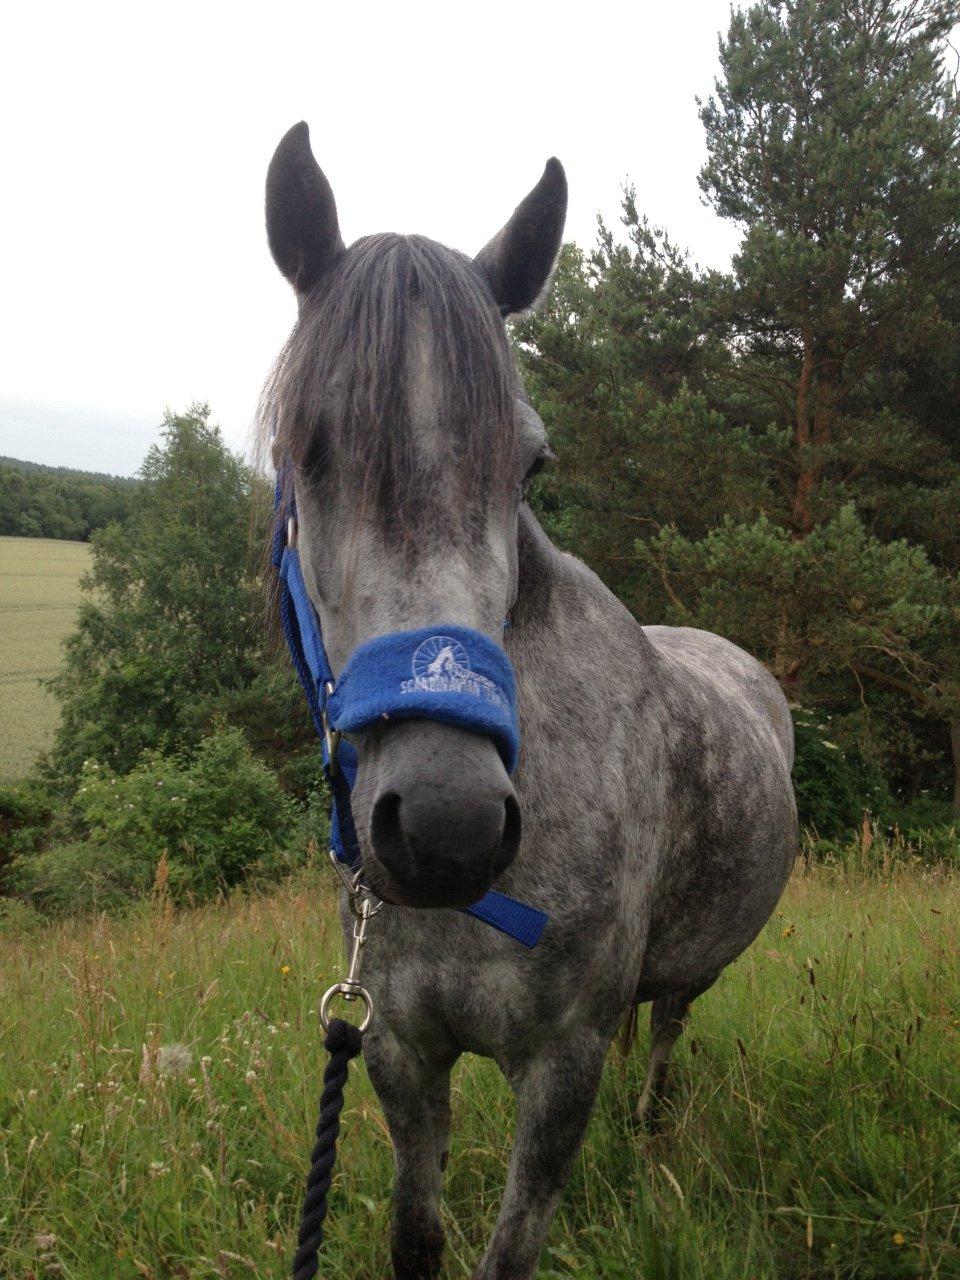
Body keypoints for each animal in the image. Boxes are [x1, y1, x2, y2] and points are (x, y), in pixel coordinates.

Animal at [263, 122, 798, 1280]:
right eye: (302, 450)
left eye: (532, 463)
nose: (447, 823)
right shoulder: (400, 1049)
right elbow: (416, 1236)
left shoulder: (560, 1065)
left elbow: (510, 1248)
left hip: (684, 979)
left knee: (669, 1029)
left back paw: (654, 1130)